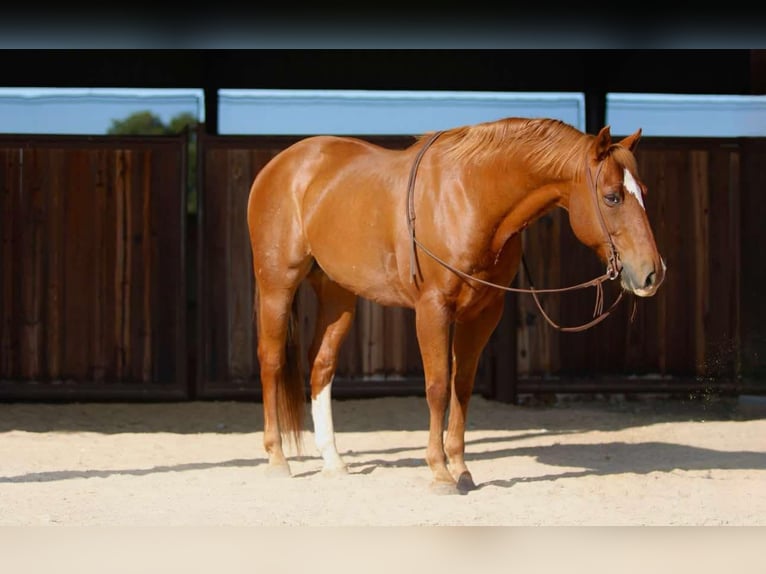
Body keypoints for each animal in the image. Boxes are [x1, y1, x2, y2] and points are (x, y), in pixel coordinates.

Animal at [246, 116, 666, 494]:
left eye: (644, 190)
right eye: (612, 196)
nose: (652, 273)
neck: (470, 197)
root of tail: (280, 165)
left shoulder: (483, 314)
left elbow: (461, 386)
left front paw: (461, 469)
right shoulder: (432, 309)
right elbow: (437, 387)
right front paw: (439, 472)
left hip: (337, 293)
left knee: (322, 365)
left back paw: (333, 461)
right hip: (277, 285)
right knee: (271, 361)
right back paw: (277, 458)